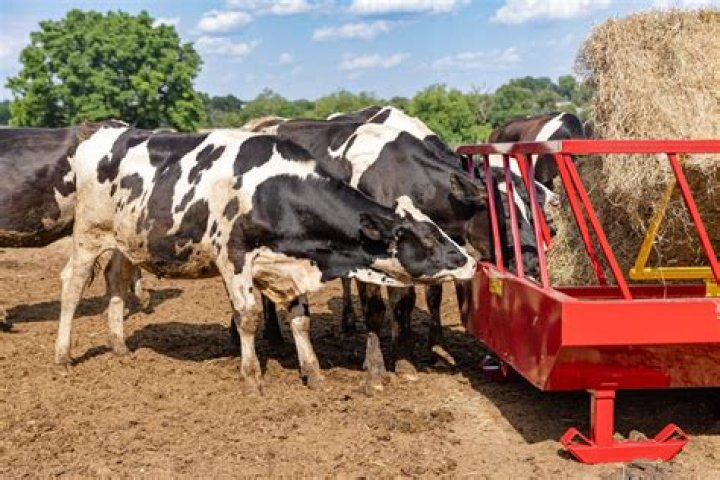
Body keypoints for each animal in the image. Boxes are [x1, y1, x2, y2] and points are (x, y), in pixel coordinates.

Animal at [57, 126, 476, 393]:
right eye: (427, 238)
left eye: (439, 229)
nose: (470, 263)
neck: (273, 190)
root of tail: (101, 135)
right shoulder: (233, 257)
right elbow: (248, 316)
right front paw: (252, 376)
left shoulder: (291, 266)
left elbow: (301, 320)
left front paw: (313, 373)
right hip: (88, 234)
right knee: (72, 286)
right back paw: (63, 355)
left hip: (126, 243)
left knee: (116, 280)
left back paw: (118, 345)